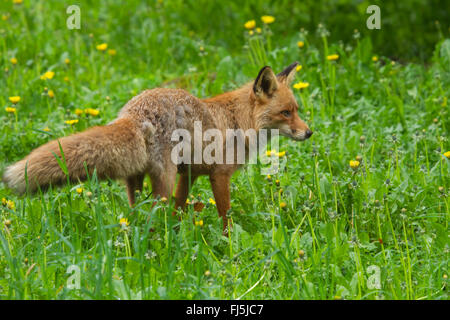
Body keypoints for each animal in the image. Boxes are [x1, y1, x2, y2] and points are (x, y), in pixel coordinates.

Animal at [2, 62, 312, 231]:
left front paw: (181, 233)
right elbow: (226, 216)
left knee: (137, 214)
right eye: (286, 113)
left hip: (138, 181)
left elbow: (180, 207)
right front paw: (228, 244)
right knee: (152, 215)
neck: (239, 120)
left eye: (296, 110)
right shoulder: (219, 175)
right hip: (163, 179)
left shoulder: (189, 174)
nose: (309, 132)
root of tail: (131, 114)